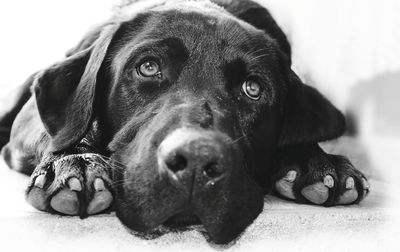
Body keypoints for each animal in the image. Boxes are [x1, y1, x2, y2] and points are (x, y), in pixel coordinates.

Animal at [0, 0, 368, 244]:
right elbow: (62, 132)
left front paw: (319, 163)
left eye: (253, 89)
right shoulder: (29, 120)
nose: (195, 162)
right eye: (148, 67)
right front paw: (76, 162)